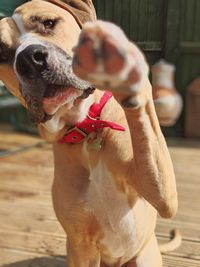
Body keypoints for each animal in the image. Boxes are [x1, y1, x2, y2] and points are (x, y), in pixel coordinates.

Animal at [0, 1, 181, 266]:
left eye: (48, 23)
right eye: (2, 54)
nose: (29, 59)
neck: (87, 128)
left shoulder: (163, 194)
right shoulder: (80, 245)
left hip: (142, 256)